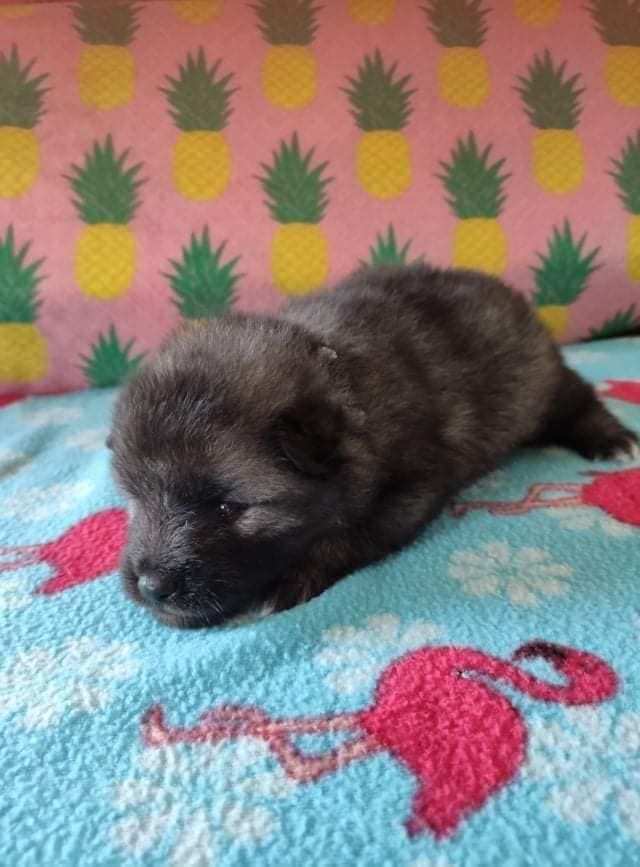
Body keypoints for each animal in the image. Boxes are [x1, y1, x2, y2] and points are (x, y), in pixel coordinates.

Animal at [109, 265, 638, 628]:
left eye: (229, 507)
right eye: (134, 499)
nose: (152, 587)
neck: (343, 381)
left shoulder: (411, 488)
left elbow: (349, 535)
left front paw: (291, 579)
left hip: (540, 382)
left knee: (576, 398)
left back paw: (613, 440)